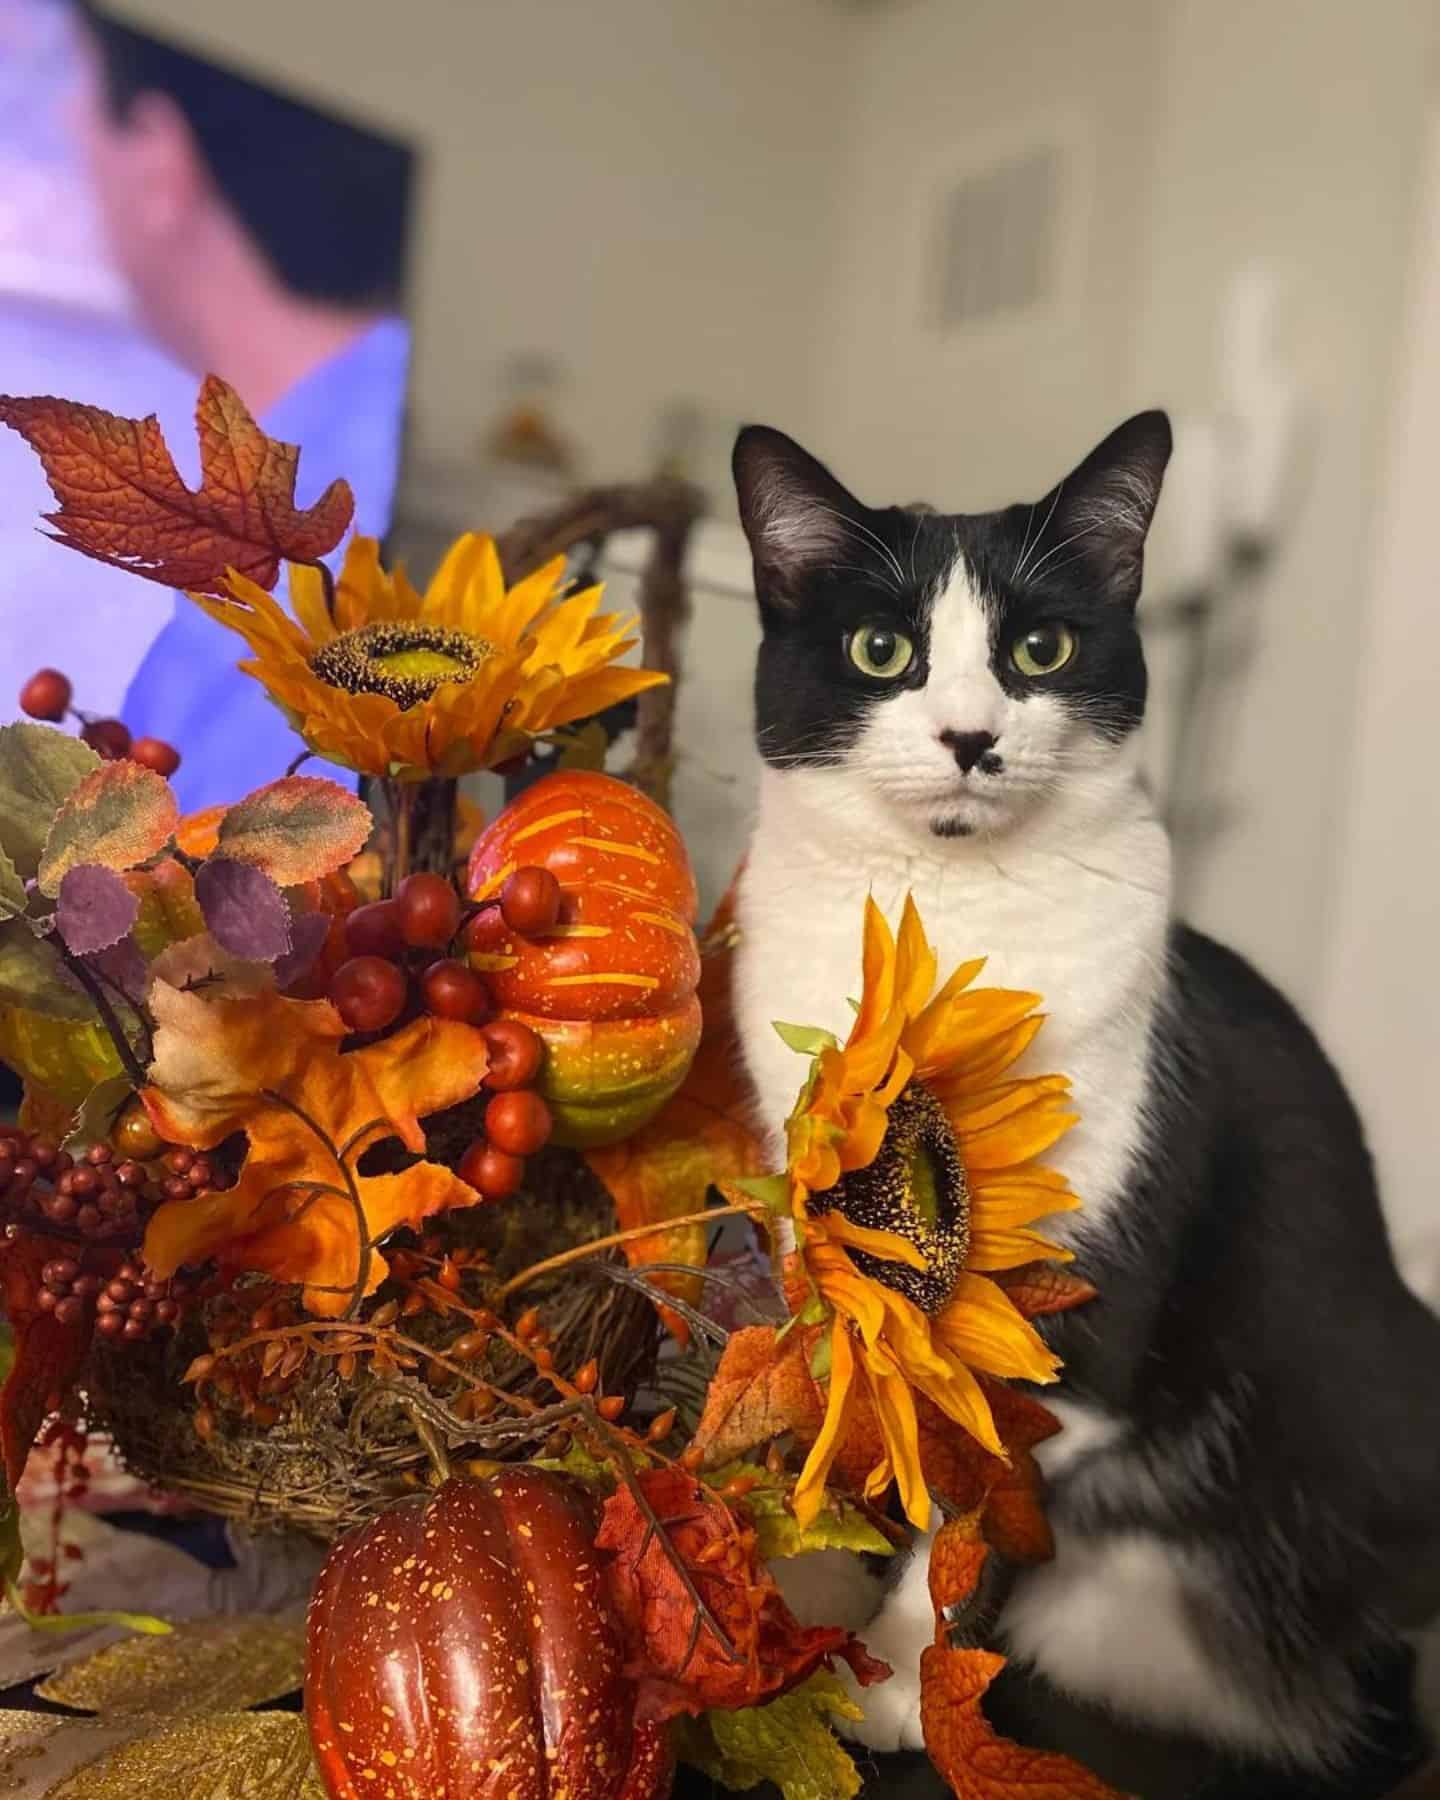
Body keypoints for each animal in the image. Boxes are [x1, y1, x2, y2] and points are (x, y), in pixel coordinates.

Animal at [730, 417, 1440, 1785]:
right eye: (881, 650)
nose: (969, 737)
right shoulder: (830, 1255)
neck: (944, 923)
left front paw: (906, 1676)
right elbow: (869, 1431)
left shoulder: (1083, 1322)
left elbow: (986, 1485)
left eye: (1039, 650)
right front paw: (814, 1587)